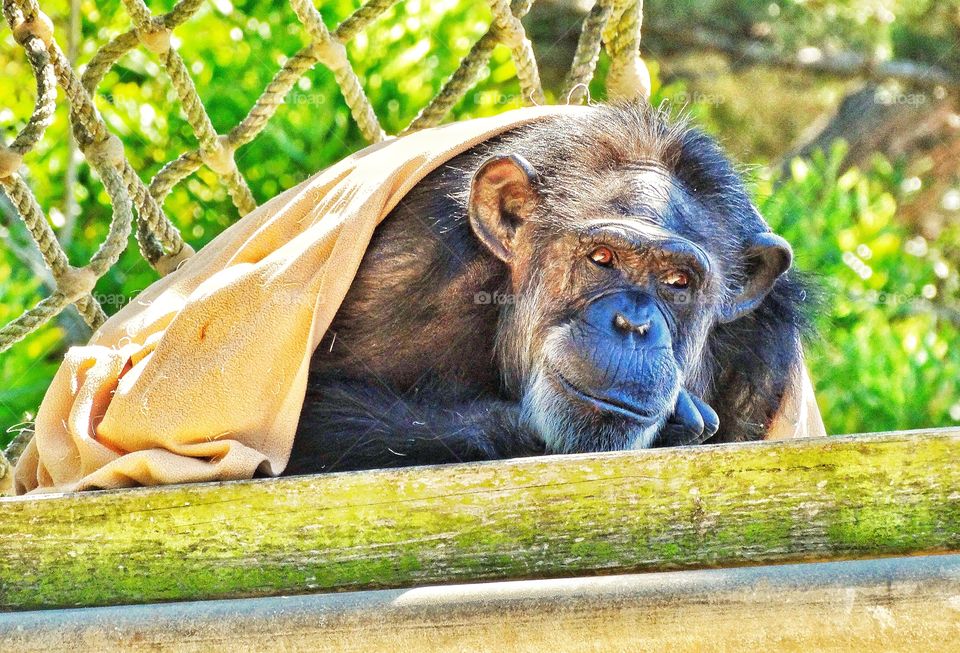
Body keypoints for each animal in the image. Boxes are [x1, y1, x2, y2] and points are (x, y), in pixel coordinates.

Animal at [282, 102, 808, 476]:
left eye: (678, 281)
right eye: (602, 258)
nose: (633, 324)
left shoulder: (762, 360)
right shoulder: (400, 269)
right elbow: (305, 418)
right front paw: (680, 423)